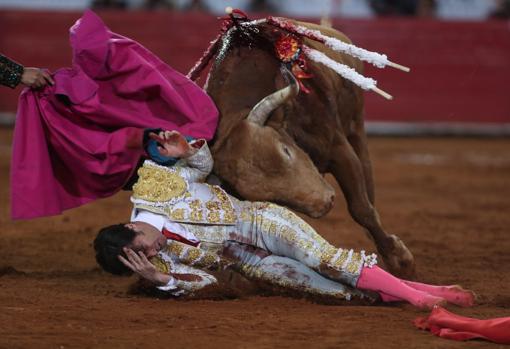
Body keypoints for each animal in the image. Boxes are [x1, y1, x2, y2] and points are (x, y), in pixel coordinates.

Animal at [197, 18, 416, 278]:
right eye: (272, 197)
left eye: (286, 151)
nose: (326, 202)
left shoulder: (338, 149)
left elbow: (360, 208)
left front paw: (401, 261)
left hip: (356, 125)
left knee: (367, 182)